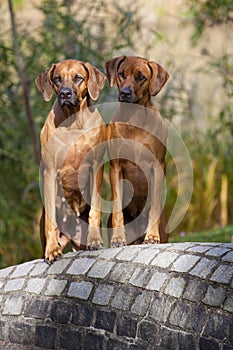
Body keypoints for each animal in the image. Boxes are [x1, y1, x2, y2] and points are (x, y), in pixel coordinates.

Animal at [35, 59, 106, 262]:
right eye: (57, 79)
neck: (74, 122)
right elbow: (51, 221)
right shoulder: (50, 171)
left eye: (78, 78)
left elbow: (95, 210)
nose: (65, 93)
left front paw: (95, 240)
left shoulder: (96, 166)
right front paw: (52, 250)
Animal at [105, 55, 169, 246]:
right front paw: (118, 238)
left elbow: (154, 205)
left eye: (141, 77)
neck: (135, 119)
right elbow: (118, 206)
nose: (125, 93)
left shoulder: (158, 166)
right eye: (121, 74)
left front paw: (152, 236)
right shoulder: (116, 166)